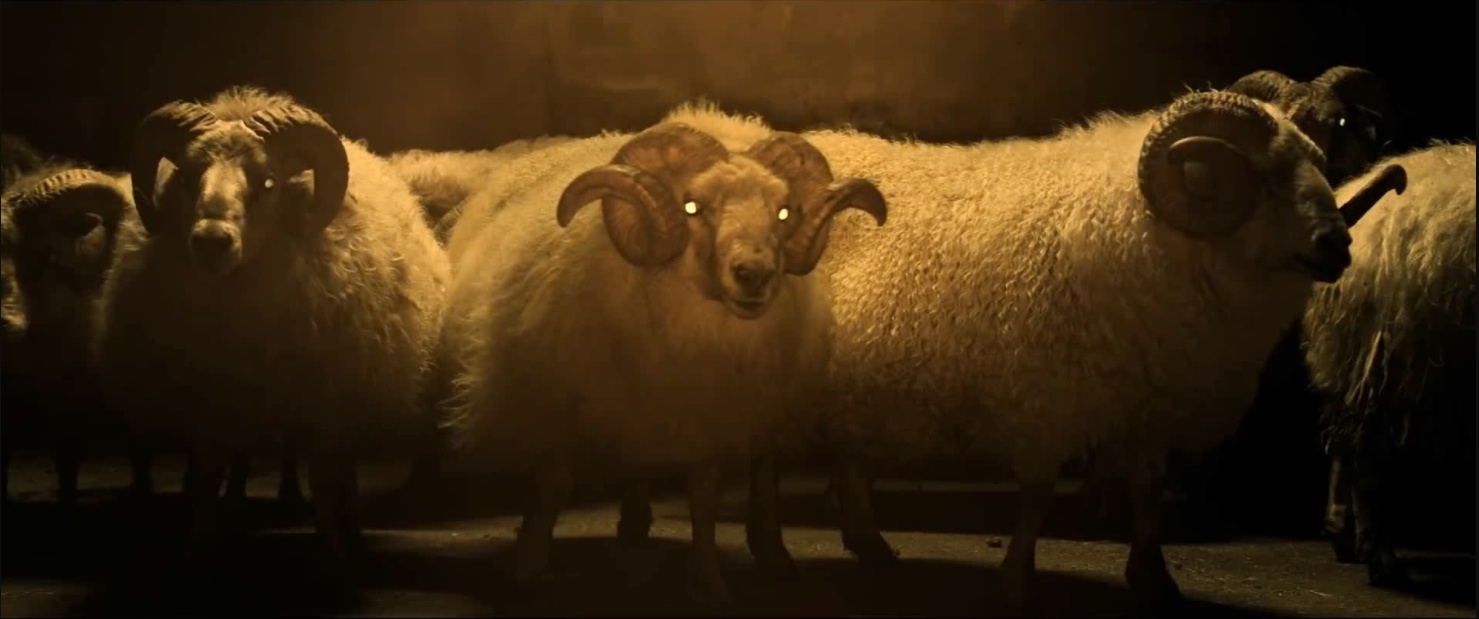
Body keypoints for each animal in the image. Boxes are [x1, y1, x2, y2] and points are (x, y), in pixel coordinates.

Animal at [95, 86, 450, 568]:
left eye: (268, 183)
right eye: (186, 177)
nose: (211, 241)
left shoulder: (326, 403)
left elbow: (324, 478)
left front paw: (330, 549)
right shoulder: (210, 398)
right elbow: (208, 472)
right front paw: (200, 541)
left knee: (344, 467)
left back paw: (351, 525)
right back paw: (238, 503)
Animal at [434, 121, 886, 606]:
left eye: (783, 213)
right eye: (692, 206)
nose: (754, 274)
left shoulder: (708, 422)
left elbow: (704, 501)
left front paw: (709, 582)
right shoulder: (563, 407)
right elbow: (554, 484)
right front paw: (530, 568)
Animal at [658, 92, 1407, 610]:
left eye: (1320, 165)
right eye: (1260, 175)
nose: (1336, 245)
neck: (1146, 227)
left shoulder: (1148, 400)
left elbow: (1148, 490)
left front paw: (1152, 577)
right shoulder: (1048, 392)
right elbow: (1038, 494)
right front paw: (1017, 580)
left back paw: (860, 543)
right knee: (767, 458)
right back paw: (775, 551)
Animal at [1303, 142, 1476, 588]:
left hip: (1351, 356)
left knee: (1343, 442)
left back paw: (1342, 536)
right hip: (1384, 357)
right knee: (1364, 453)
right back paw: (1379, 557)